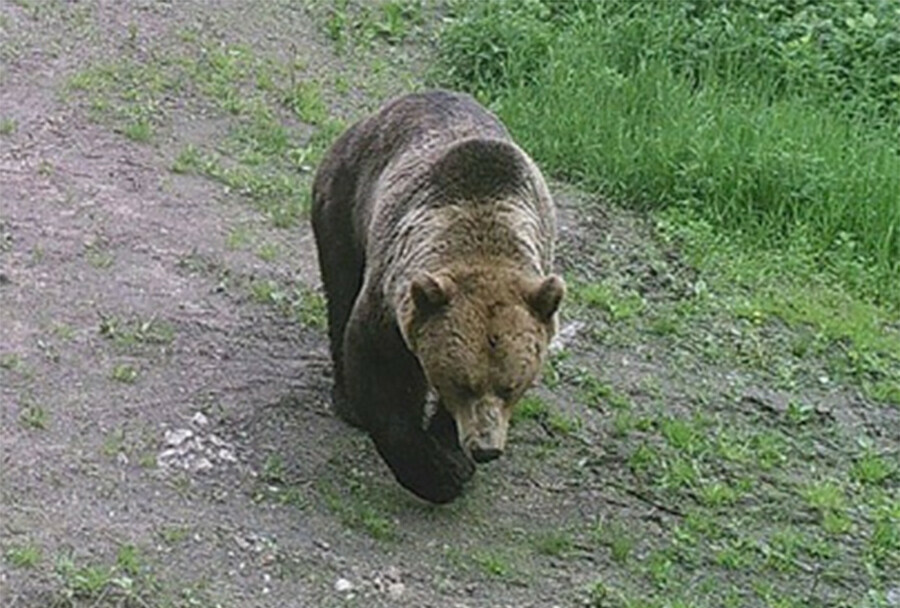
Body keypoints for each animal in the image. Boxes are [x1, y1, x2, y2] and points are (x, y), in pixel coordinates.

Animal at [310, 86, 564, 504]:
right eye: (463, 383)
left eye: (512, 386)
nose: (487, 449)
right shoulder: (392, 300)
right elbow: (381, 375)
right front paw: (437, 475)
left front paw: (452, 454)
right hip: (344, 199)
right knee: (341, 287)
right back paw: (345, 399)